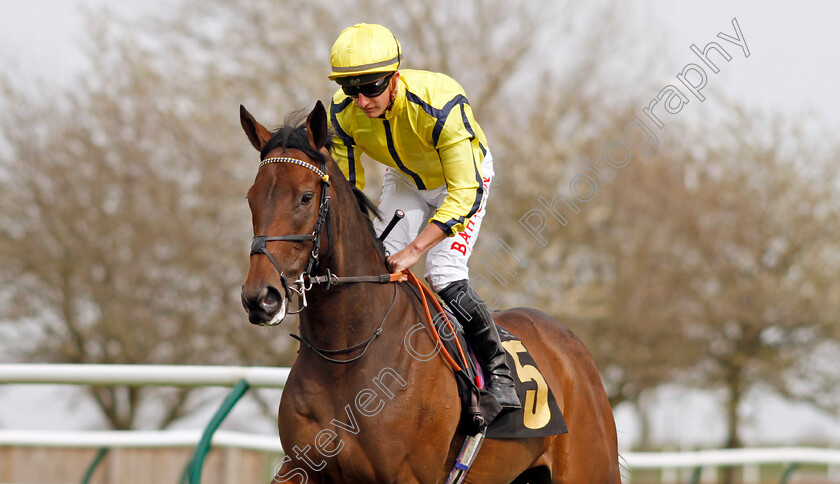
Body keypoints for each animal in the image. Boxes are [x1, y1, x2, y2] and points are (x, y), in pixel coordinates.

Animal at [240, 100, 620, 482]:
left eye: (305, 197)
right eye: (251, 197)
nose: (260, 298)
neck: (346, 355)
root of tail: (570, 343)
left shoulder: (408, 475)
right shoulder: (299, 465)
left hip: (591, 468)